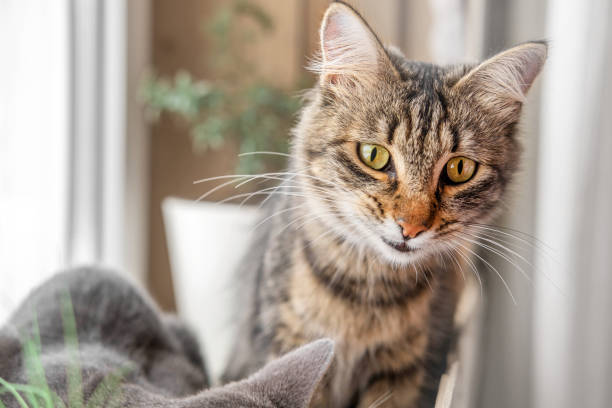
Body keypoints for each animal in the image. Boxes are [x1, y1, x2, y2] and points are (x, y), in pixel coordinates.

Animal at [222, 1, 548, 406]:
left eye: (459, 169)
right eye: (373, 155)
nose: (411, 227)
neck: (367, 292)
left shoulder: (406, 369)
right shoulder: (286, 341)